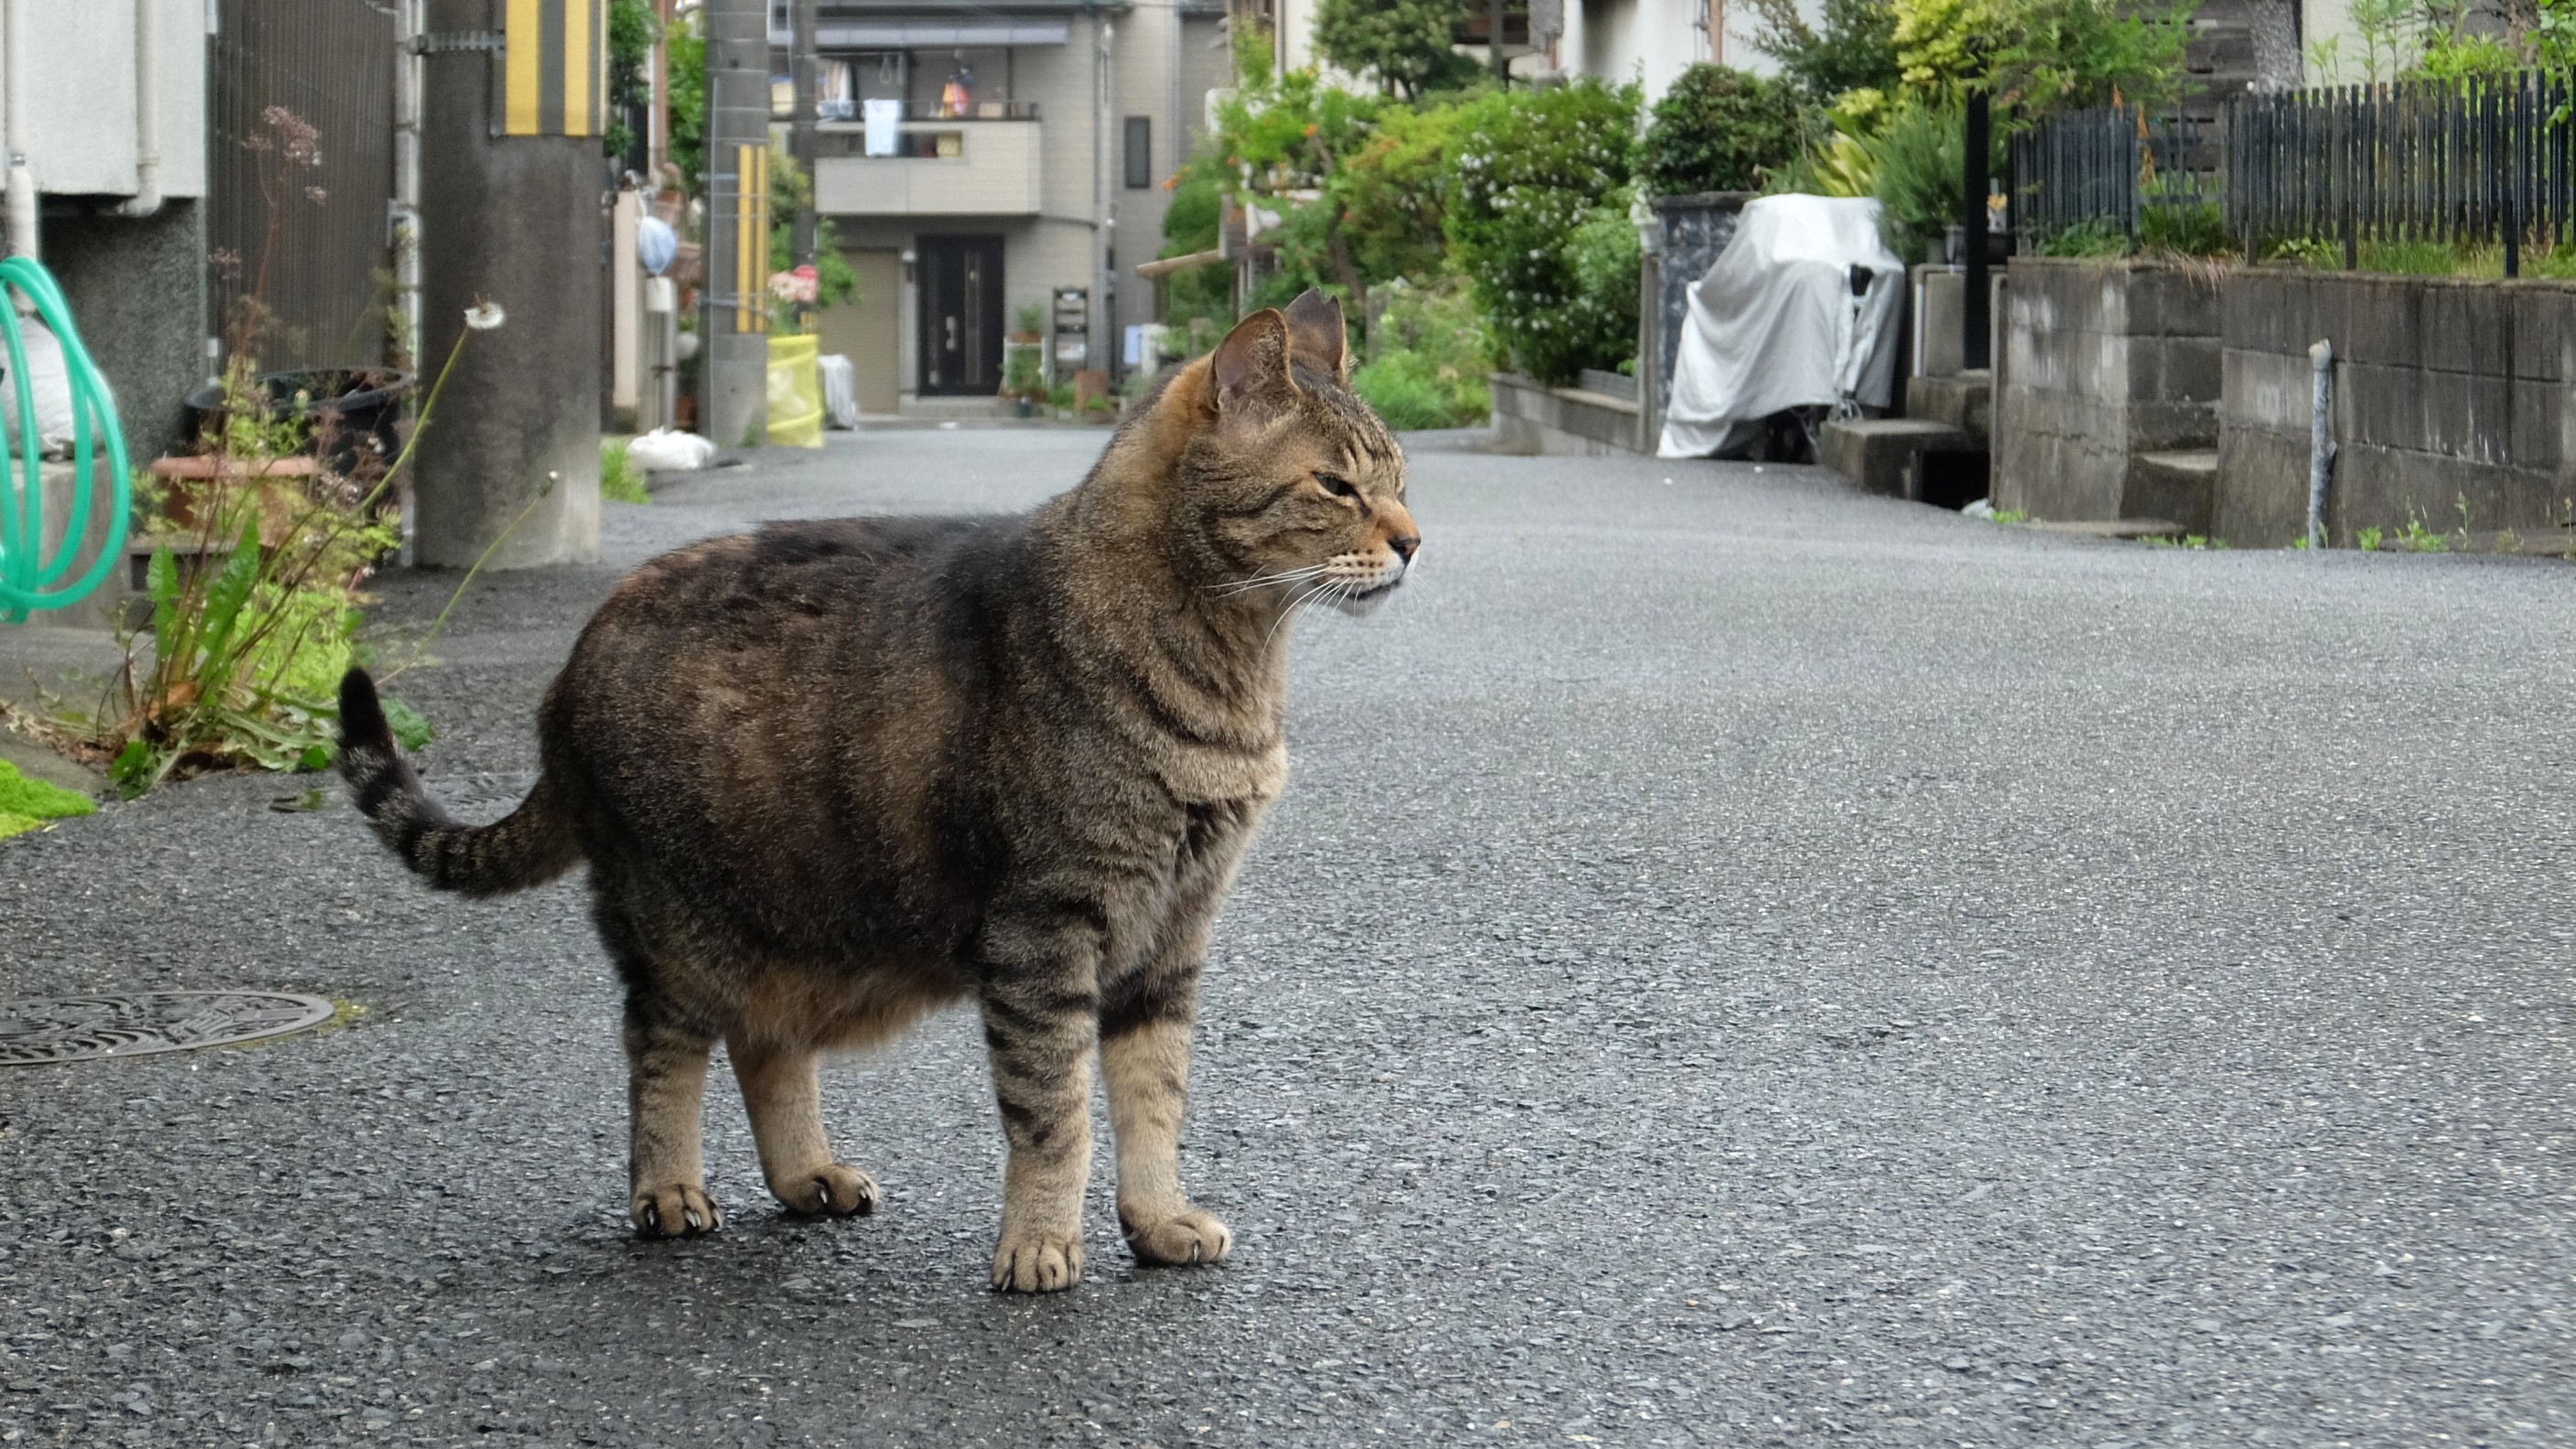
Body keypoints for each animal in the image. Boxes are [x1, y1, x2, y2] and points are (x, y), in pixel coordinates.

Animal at [332, 290, 1422, 1283]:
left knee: (764, 1047)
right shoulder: (1047, 927)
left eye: (1400, 479)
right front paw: (1040, 1245)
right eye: (1336, 485)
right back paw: (668, 1190)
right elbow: (1056, 1111)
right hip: (679, 928)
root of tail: (570, 667)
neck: (1233, 663)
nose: (1413, 541)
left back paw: (807, 1175)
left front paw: (1156, 1223)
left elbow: (1153, 1099)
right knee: (661, 1050)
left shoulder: (1175, 929)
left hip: (785, 922)